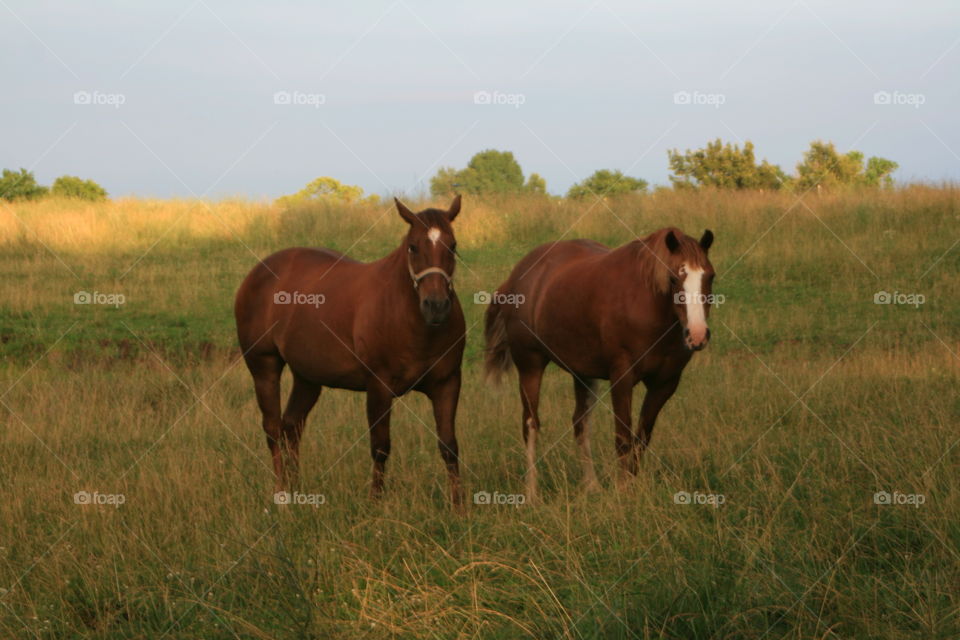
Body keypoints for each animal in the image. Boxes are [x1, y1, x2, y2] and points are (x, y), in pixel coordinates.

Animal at [234, 196, 466, 504]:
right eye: (413, 246)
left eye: (452, 245)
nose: (436, 306)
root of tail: (259, 271)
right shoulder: (379, 386)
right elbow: (380, 447)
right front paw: (376, 502)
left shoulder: (447, 383)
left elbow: (449, 446)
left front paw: (459, 506)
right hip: (264, 367)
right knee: (272, 429)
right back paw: (281, 494)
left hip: (307, 377)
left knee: (291, 425)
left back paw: (296, 489)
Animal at [483, 227, 714, 501]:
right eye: (672, 279)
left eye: (710, 277)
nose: (697, 335)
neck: (646, 304)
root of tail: (516, 278)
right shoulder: (622, 378)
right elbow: (623, 438)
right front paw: (623, 490)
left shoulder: (665, 384)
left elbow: (641, 438)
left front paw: (631, 486)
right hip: (530, 364)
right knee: (531, 424)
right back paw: (532, 492)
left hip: (582, 373)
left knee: (581, 424)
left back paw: (591, 485)